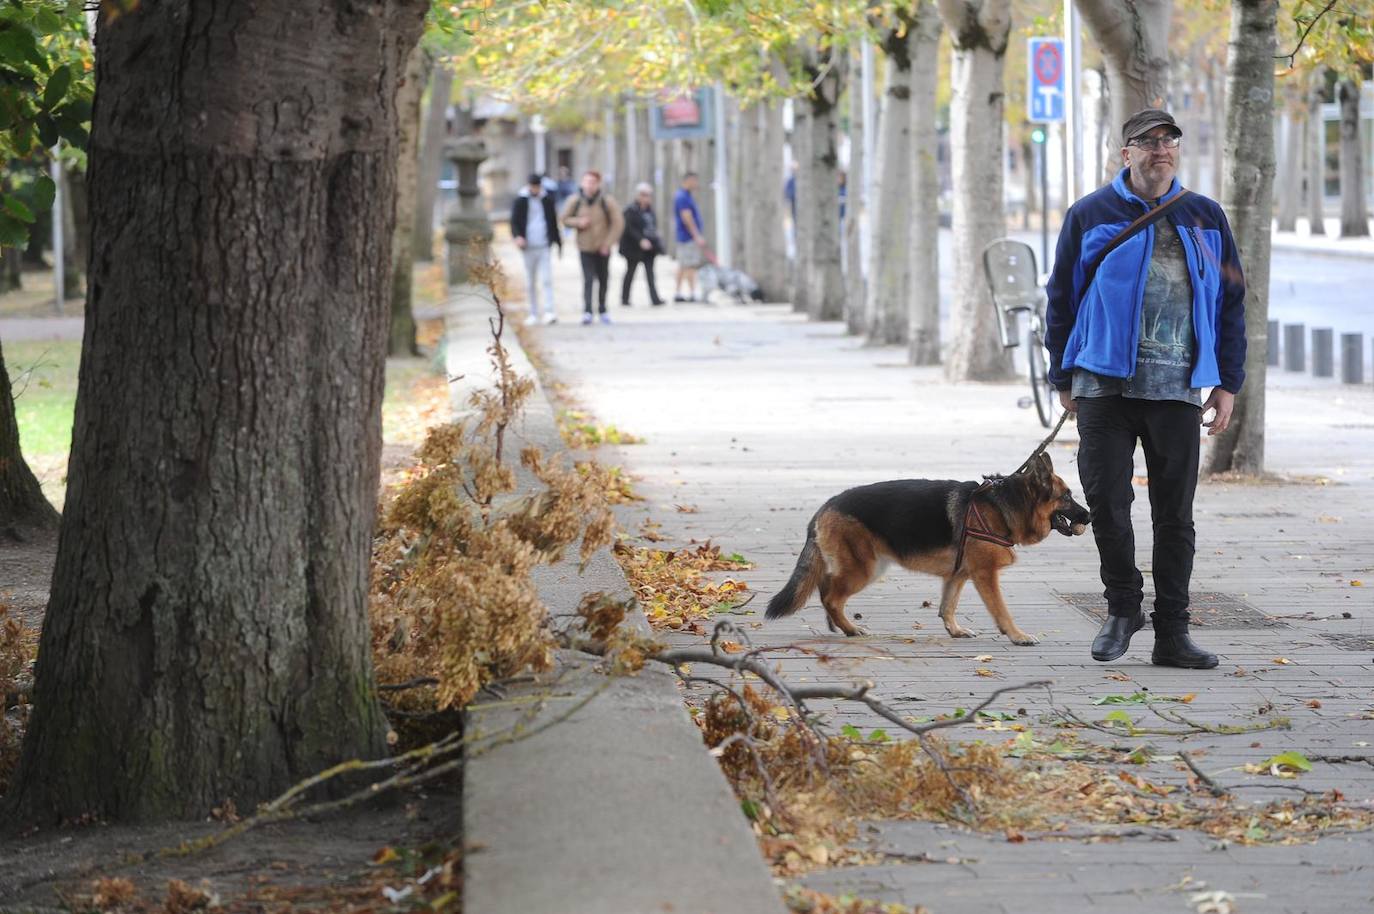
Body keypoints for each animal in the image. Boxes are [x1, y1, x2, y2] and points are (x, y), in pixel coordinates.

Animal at [769, 453, 1088, 640]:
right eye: (1067, 496)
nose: (1088, 516)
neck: (1002, 505)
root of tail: (825, 506)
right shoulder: (985, 575)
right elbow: (1001, 609)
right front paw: (1016, 635)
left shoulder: (958, 575)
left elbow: (948, 606)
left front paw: (954, 630)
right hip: (864, 569)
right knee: (831, 595)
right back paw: (850, 627)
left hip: (862, 566)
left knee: (826, 587)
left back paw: (838, 626)